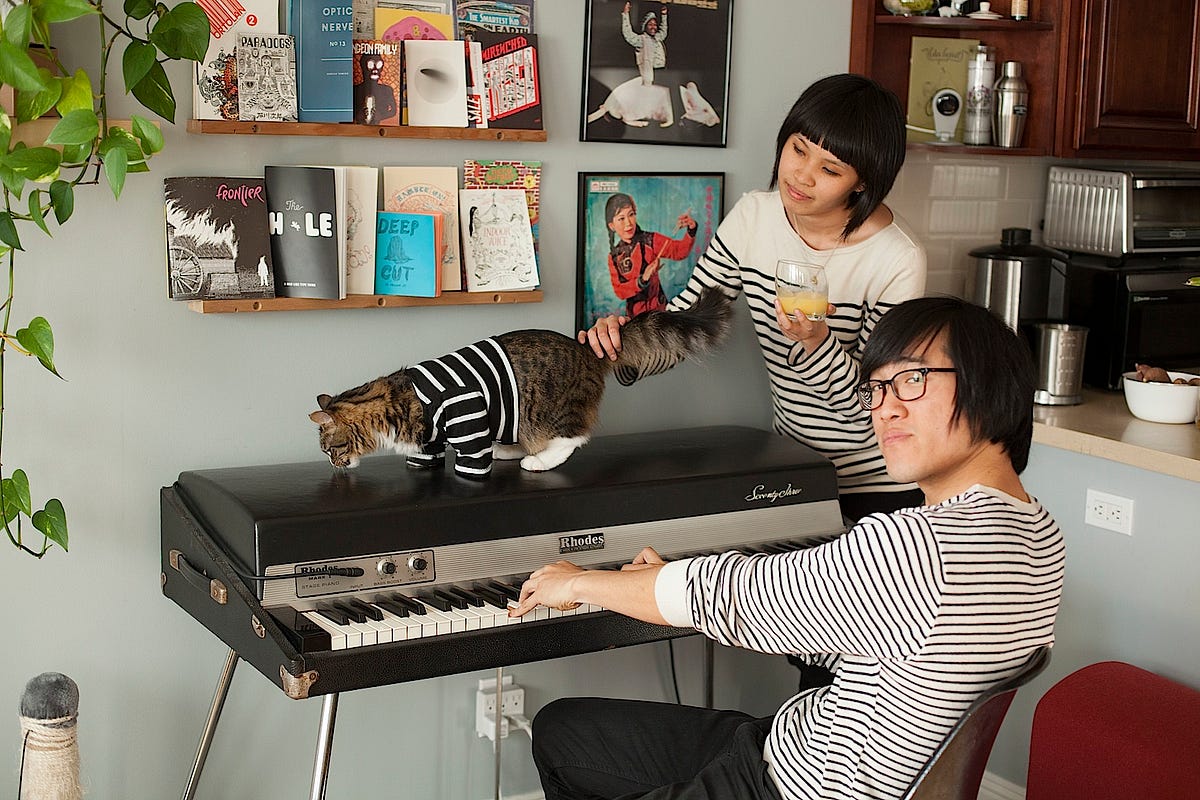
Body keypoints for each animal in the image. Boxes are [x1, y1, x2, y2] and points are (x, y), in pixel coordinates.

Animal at [309, 291, 729, 479]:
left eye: (330, 449)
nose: (333, 466)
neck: (392, 400)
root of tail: (582, 347)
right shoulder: (431, 437)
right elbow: (425, 455)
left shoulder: (466, 417)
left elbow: (470, 465)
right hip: (510, 414)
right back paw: (507, 451)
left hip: (543, 410)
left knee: (573, 437)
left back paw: (537, 460)